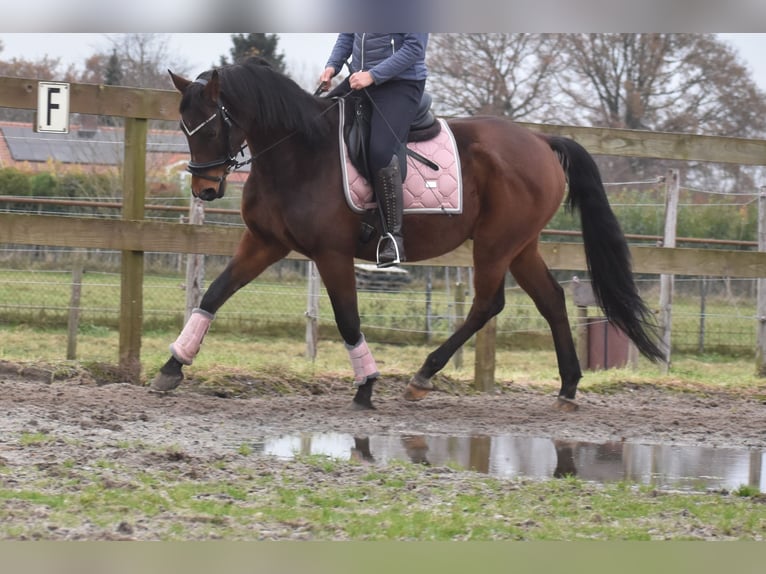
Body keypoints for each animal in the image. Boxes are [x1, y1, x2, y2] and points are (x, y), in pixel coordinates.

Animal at [152, 57, 664, 410]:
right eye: (183, 127)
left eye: (211, 126)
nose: (205, 188)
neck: (299, 151)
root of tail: (540, 140)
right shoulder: (264, 243)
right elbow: (213, 295)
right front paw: (172, 367)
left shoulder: (331, 254)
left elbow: (348, 319)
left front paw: (366, 386)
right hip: (521, 246)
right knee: (552, 300)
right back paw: (569, 386)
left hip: (496, 245)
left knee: (488, 304)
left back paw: (423, 376)